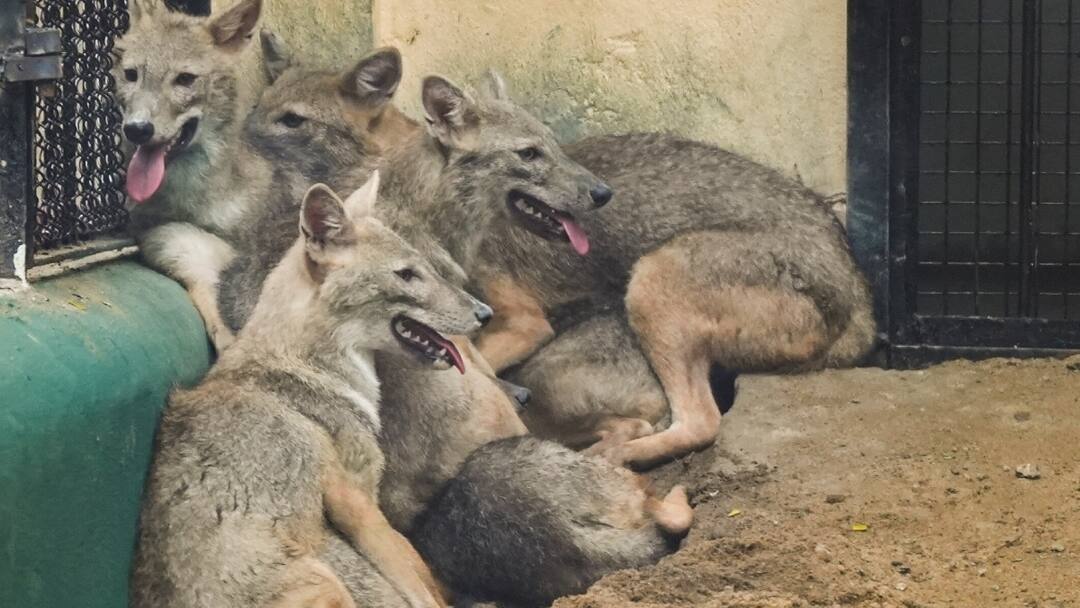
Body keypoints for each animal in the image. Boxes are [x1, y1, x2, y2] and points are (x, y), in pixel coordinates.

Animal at [129, 175, 493, 608]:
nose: (485, 313)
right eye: (407, 274)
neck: (308, 366)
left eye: (426, 268)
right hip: (331, 581)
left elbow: (426, 574)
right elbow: (420, 582)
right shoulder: (358, 502)